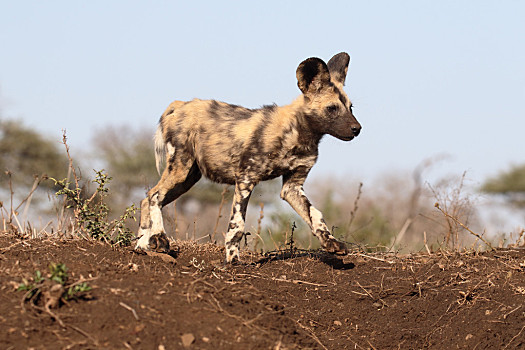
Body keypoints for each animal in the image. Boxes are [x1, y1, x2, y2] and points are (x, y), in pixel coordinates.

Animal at [136, 52, 360, 262]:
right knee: (154, 196)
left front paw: (331, 243)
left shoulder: (292, 188)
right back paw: (159, 237)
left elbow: (315, 215)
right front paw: (232, 259)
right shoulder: (246, 179)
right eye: (332, 108)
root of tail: (180, 104)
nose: (357, 128)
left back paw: (142, 245)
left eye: (350, 108)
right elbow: (237, 226)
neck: (299, 133)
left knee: (148, 199)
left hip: (187, 179)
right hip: (181, 169)